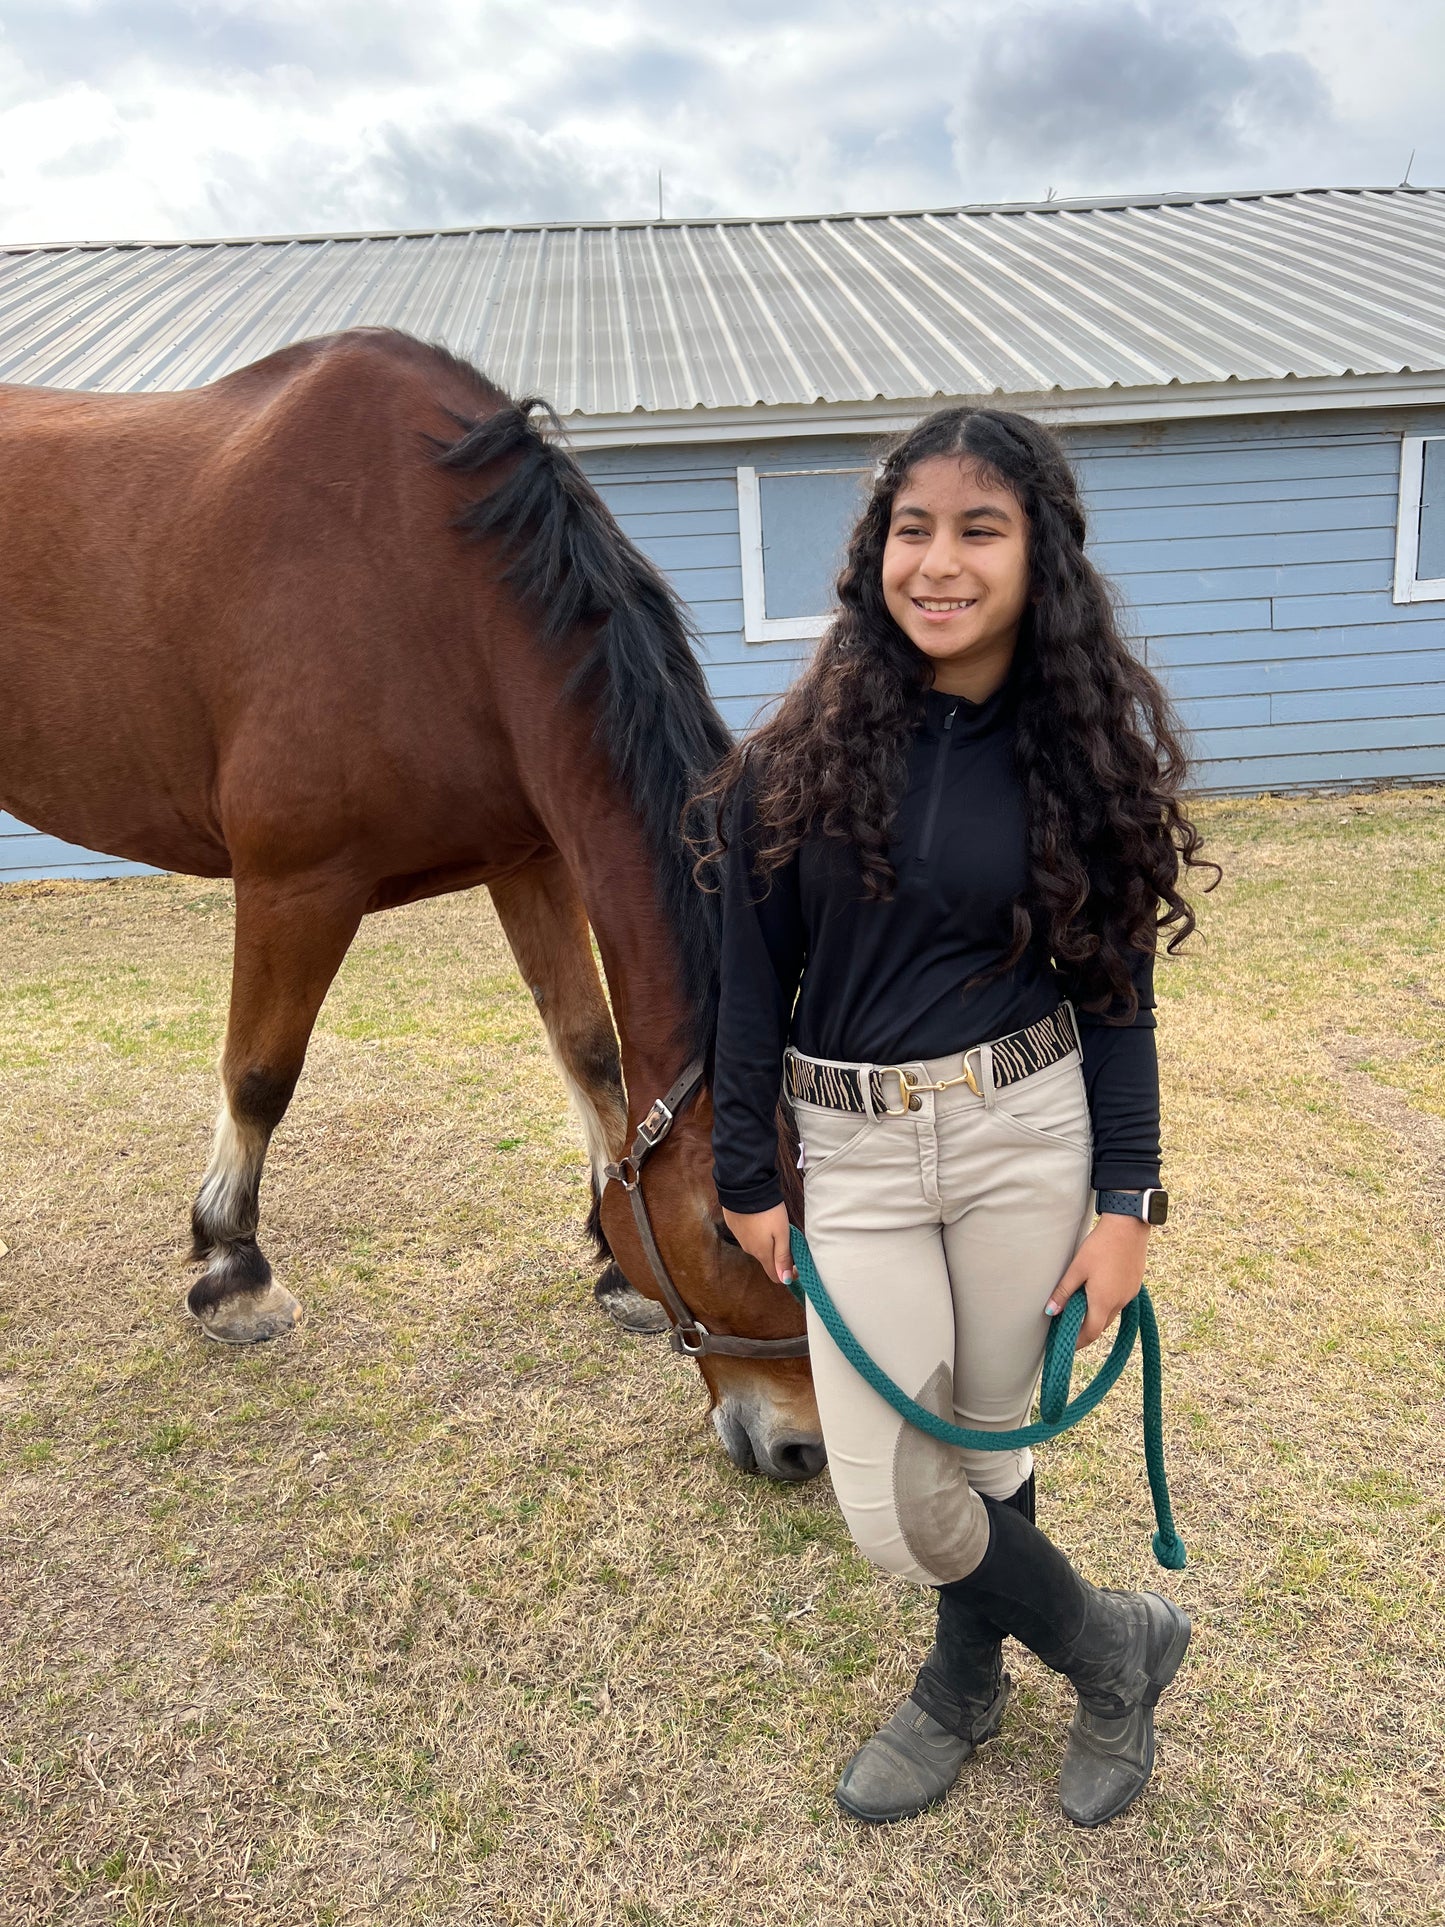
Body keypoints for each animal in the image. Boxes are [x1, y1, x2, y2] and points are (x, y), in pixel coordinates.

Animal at [0, 327, 824, 1472]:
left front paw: (608, 1254)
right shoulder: (295, 882)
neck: (427, 582)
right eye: (719, 1226)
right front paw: (232, 1269)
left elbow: (589, 1051)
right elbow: (260, 1074)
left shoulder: (531, 859)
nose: (798, 1449)